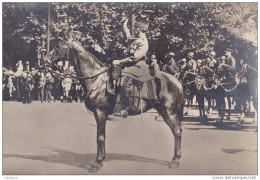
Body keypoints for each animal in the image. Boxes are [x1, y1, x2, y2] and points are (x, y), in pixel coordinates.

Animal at [43, 38, 185, 172]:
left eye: (58, 46)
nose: (44, 60)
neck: (96, 79)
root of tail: (178, 82)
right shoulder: (98, 114)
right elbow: (102, 136)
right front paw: (101, 159)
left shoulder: (100, 112)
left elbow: (100, 137)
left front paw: (97, 163)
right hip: (164, 112)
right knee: (176, 131)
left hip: (170, 112)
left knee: (177, 131)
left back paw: (175, 161)